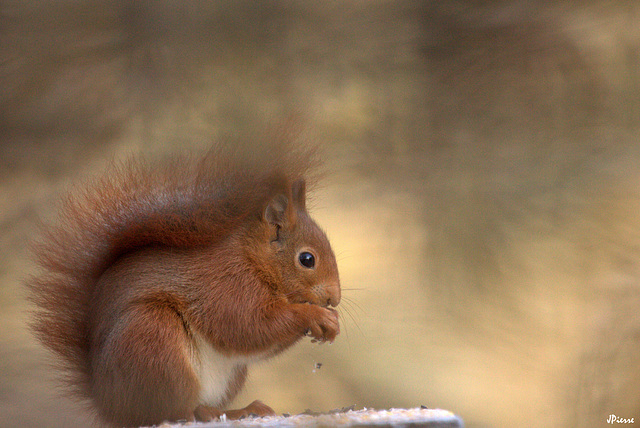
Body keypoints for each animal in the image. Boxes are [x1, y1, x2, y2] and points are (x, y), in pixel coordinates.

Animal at [26, 144, 340, 428]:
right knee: (170, 411)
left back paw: (240, 411)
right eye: (307, 259)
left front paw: (331, 322)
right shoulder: (226, 285)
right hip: (154, 337)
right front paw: (315, 315)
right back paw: (204, 413)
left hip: (226, 375)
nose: (334, 299)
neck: (252, 259)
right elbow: (248, 325)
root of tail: (108, 404)